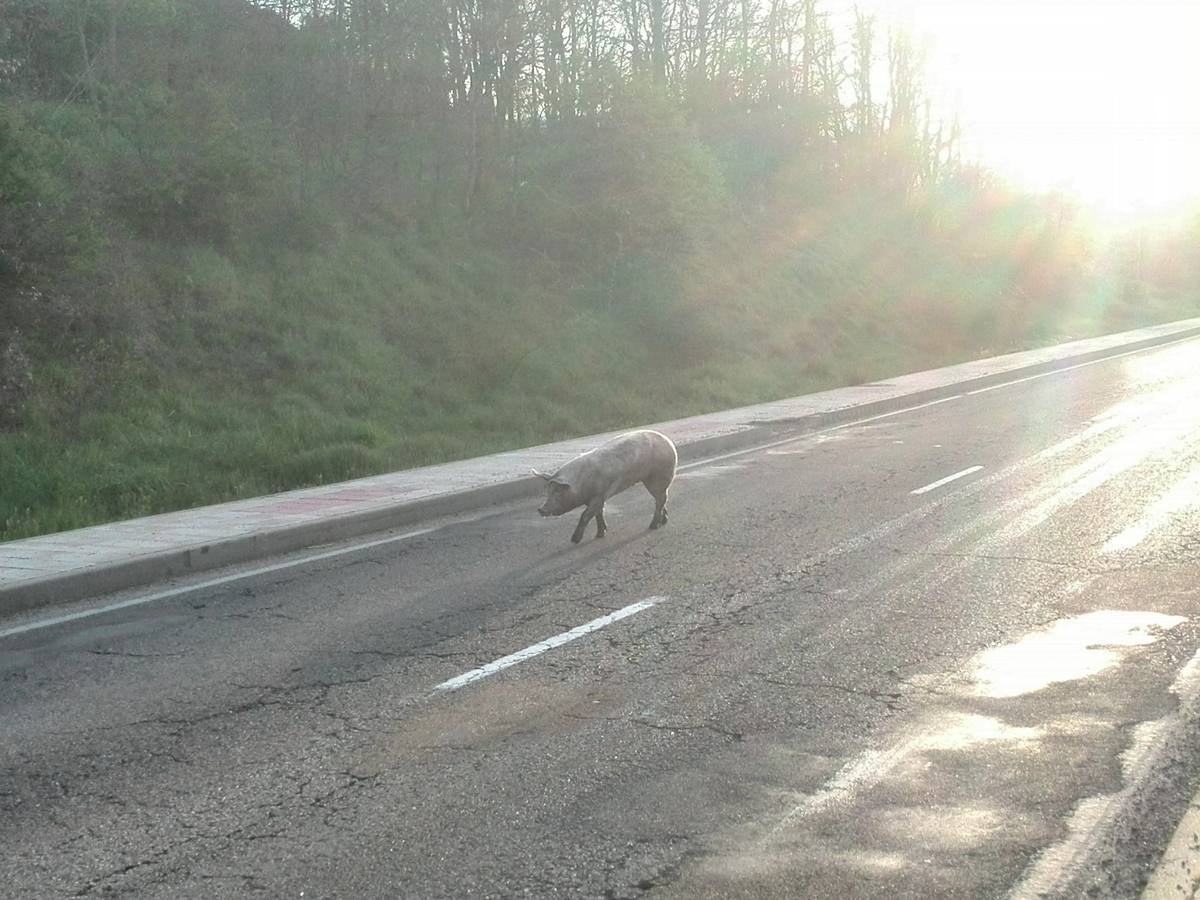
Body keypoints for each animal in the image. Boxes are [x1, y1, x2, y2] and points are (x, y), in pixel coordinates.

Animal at [532, 429, 676, 542]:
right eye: (549, 491)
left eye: (558, 491)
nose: (540, 509)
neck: (581, 483)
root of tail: (670, 443)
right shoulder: (597, 498)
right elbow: (599, 513)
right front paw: (600, 535)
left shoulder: (598, 495)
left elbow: (585, 515)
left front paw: (574, 540)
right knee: (661, 499)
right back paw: (664, 521)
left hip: (659, 476)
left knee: (661, 499)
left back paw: (653, 526)